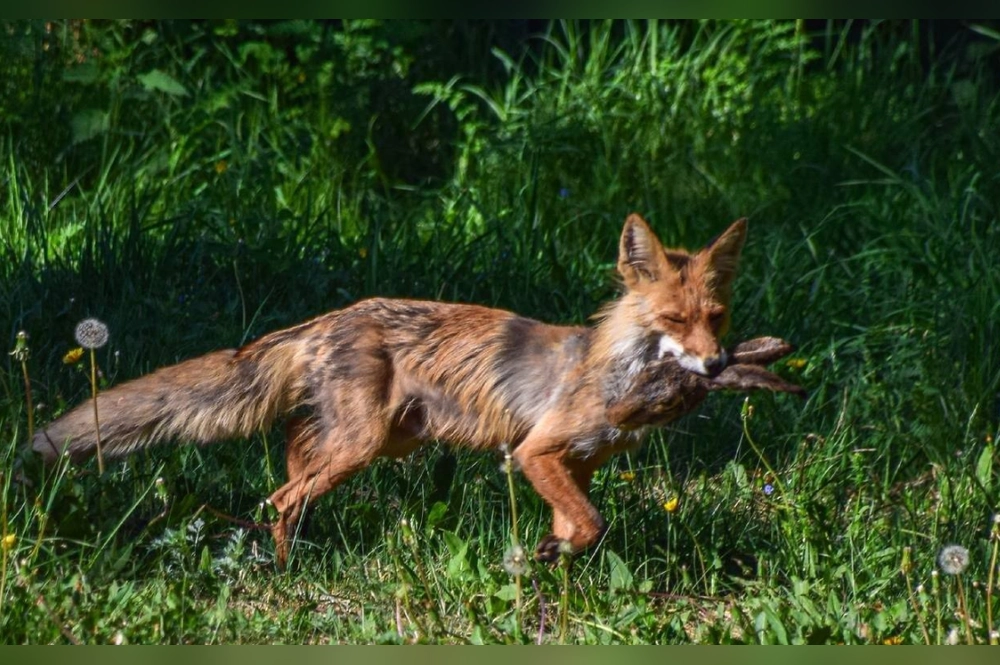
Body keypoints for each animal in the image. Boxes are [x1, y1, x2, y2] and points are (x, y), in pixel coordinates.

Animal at [33, 213, 793, 566]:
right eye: (674, 321)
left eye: (717, 317)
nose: (718, 364)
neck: (619, 368)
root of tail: (329, 316)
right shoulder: (536, 453)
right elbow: (590, 524)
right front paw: (550, 558)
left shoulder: (570, 465)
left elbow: (578, 524)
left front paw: (548, 562)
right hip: (365, 443)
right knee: (282, 495)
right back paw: (282, 571)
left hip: (383, 438)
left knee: (287, 471)